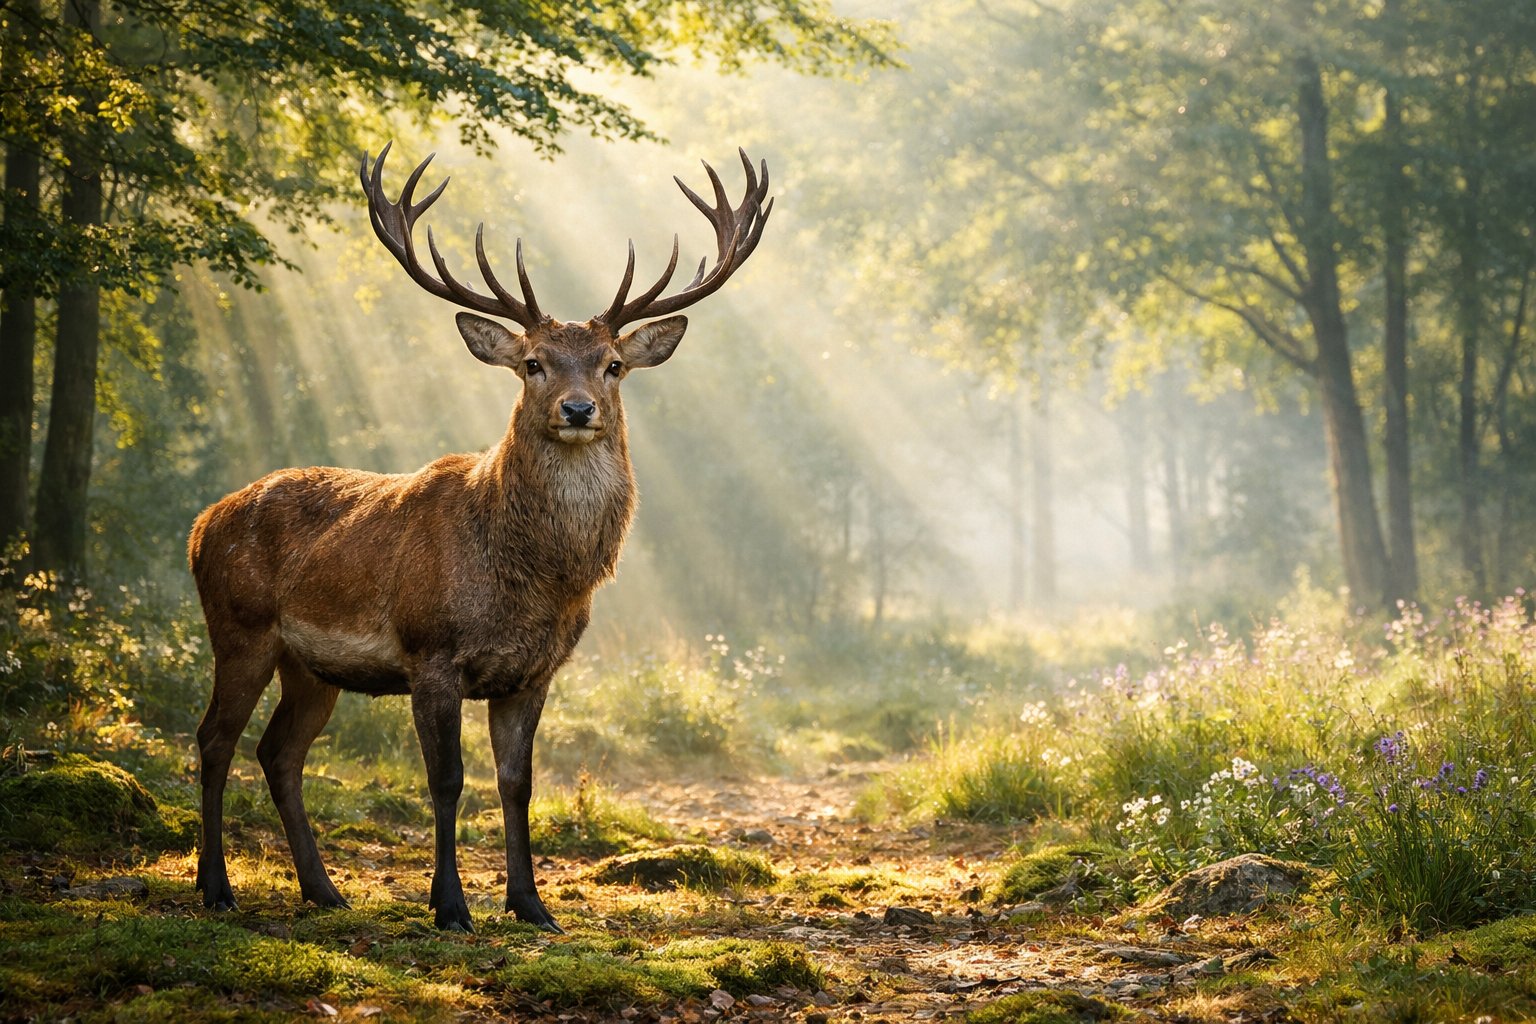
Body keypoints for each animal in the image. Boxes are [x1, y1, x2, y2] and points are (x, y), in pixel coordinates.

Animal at [188, 142, 772, 932]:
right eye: (533, 363)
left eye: (613, 364)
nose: (578, 408)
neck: (532, 584)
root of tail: (201, 524)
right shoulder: (431, 651)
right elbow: (447, 782)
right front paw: (450, 906)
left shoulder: (534, 672)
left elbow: (516, 784)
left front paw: (531, 905)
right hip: (239, 628)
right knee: (214, 740)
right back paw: (216, 887)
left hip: (310, 667)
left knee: (278, 751)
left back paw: (324, 890)